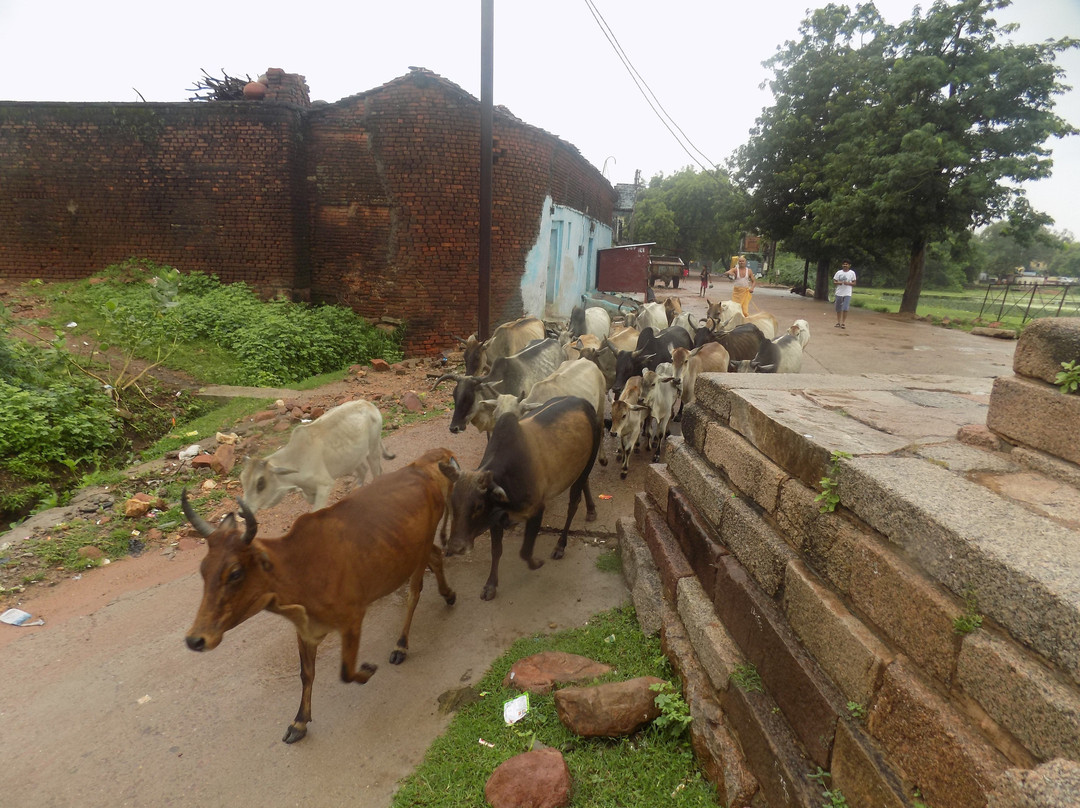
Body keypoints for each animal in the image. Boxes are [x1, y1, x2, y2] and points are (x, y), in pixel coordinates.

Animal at [182, 445, 460, 743]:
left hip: (420, 551)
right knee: (437, 557)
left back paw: (402, 644)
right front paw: (299, 722)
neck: (299, 569)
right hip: (415, 551)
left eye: (235, 573)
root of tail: (421, 467)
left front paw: (368, 670)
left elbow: (347, 671)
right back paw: (448, 594)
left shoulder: (353, 618)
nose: (195, 640)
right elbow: (306, 674)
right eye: (203, 569)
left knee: (414, 592)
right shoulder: (304, 630)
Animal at [240, 397, 397, 512]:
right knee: (362, 470)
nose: (243, 512)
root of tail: (367, 403)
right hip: (351, 457)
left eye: (260, 483)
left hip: (373, 447)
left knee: (377, 471)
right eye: (242, 480)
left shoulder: (325, 484)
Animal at [440, 395, 609, 600]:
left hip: (587, 464)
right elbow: (496, 551)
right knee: (584, 484)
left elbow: (525, 551)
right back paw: (591, 510)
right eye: (452, 503)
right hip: (578, 468)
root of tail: (583, 401)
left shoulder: (536, 509)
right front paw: (490, 585)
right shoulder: (495, 517)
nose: (456, 547)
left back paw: (561, 545)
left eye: (478, 506)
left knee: (573, 505)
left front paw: (536, 563)